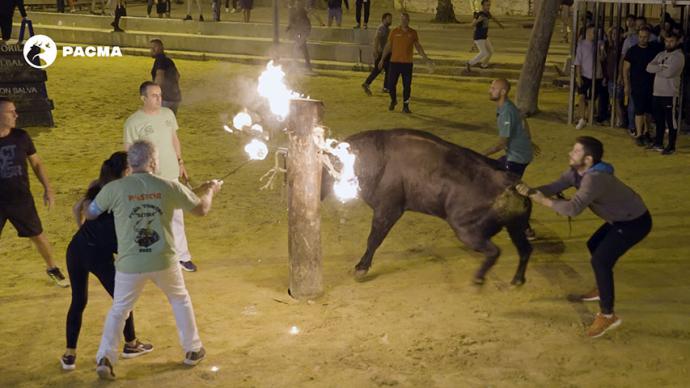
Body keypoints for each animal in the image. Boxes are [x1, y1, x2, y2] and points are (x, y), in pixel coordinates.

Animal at [322, 130, 532, 284]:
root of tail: (509, 182)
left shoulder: (388, 210)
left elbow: (373, 239)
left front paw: (361, 267)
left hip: (467, 231)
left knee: (494, 251)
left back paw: (480, 278)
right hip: (515, 227)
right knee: (525, 250)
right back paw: (518, 279)